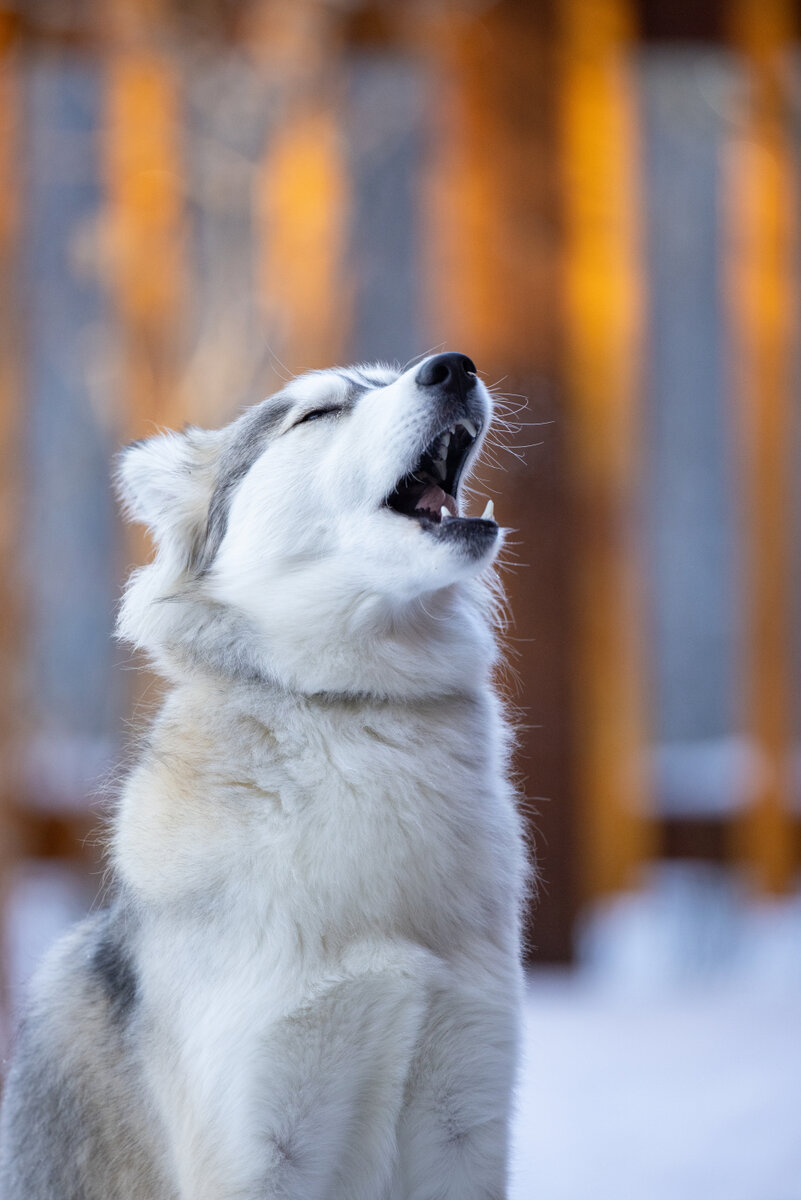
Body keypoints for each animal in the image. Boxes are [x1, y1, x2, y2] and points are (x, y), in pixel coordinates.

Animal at [0, 352, 527, 1200]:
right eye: (317, 414)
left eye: (389, 375)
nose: (452, 367)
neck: (351, 708)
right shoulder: (258, 1146)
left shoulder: (464, 1124)